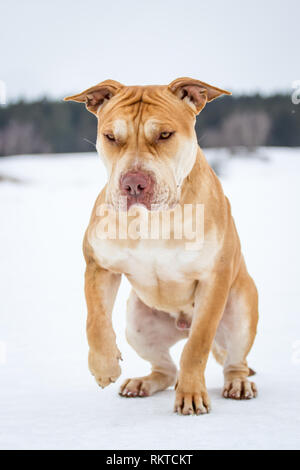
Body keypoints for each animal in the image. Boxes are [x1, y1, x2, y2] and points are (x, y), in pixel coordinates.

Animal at [65, 78, 258, 414]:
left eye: (165, 134)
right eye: (111, 137)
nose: (133, 183)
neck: (153, 219)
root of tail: (182, 324)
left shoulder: (213, 280)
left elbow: (197, 347)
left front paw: (192, 394)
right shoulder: (99, 264)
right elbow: (95, 320)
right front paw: (104, 366)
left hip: (240, 311)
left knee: (233, 360)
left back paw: (238, 383)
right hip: (137, 323)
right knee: (166, 369)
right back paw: (142, 383)